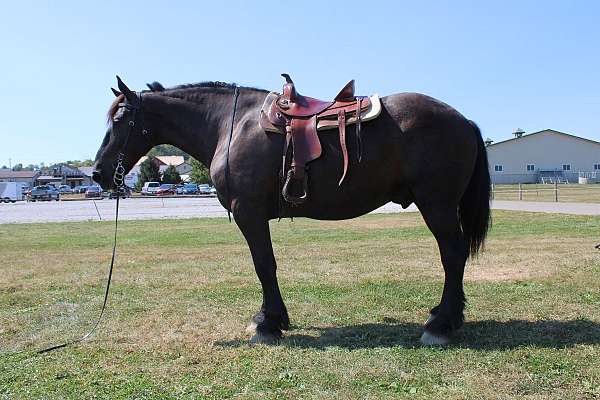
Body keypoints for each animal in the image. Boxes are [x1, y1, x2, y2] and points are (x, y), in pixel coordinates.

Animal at [91, 76, 490, 346]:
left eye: (120, 120)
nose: (97, 173)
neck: (230, 124)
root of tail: (463, 120)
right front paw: (274, 319)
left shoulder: (249, 213)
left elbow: (264, 266)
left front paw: (268, 324)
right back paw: (444, 316)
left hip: (437, 204)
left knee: (452, 255)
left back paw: (440, 325)